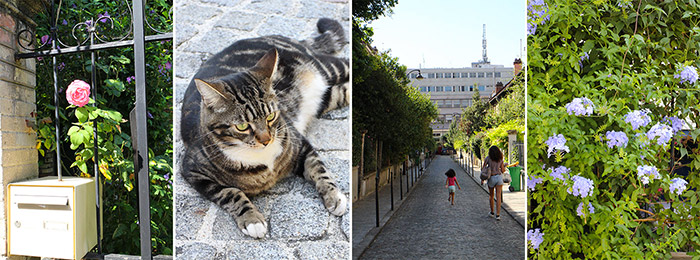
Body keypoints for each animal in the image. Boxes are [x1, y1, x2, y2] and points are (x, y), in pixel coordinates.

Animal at [180, 17, 350, 238]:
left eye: (270, 116)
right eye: (242, 126)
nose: (266, 139)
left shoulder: (300, 143)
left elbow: (319, 169)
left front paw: (334, 196)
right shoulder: (193, 170)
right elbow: (230, 193)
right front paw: (252, 219)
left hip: (326, 67)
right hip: (327, 97)